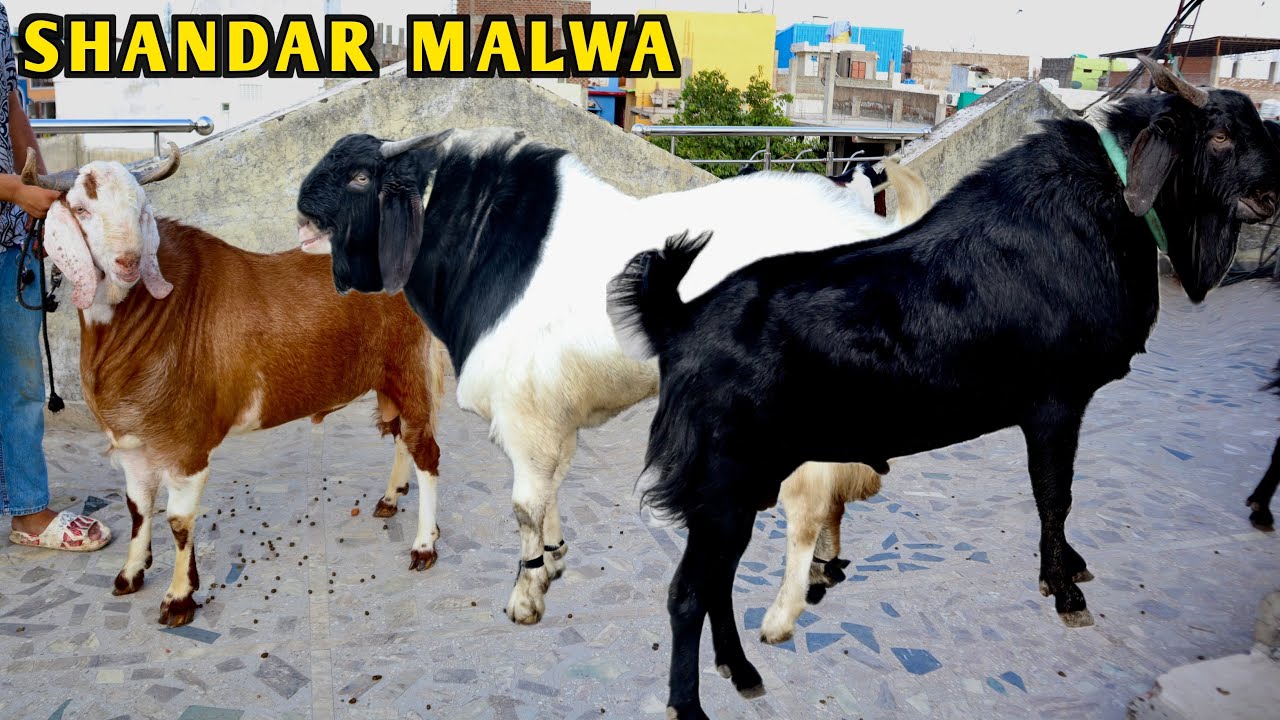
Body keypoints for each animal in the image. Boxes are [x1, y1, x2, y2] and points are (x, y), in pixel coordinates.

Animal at [26, 149, 449, 627]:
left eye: (142, 211)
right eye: (81, 209)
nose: (128, 263)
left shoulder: (186, 444)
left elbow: (178, 520)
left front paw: (179, 599)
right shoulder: (132, 441)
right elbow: (137, 507)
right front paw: (130, 574)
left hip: (409, 365)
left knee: (426, 451)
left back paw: (423, 546)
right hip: (389, 378)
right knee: (401, 435)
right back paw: (390, 499)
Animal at [296, 127, 930, 631]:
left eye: (359, 176)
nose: (300, 203)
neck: (488, 248)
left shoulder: (525, 417)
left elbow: (524, 504)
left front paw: (526, 597)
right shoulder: (556, 417)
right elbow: (552, 489)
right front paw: (553, 559)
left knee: (817, 493)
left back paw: (787, 605)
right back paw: (822, 571)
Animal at [607, 56, 1280, 718]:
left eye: (1256, 130)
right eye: (1219, 137)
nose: (1271, 195)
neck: (1108, 206)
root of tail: (677, 319)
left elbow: (1057, 498)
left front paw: (1071, 565)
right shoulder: (1057, 402)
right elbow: (1054, 496)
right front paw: (1063, 589)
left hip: (744, 484)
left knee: (717, 582)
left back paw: (741, 668)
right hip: (721, 482)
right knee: (687, 593)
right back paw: (690, 702)